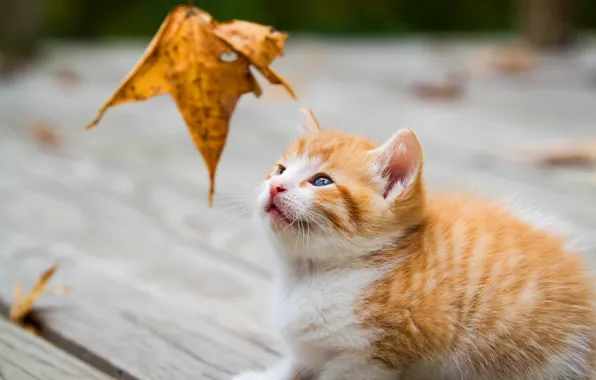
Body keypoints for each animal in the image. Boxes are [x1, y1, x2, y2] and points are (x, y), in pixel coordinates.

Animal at [232, 109, 596, 380]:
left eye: (322, 181)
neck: (309, 275)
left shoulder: (376, 354)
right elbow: (297, 365)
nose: (276, 186)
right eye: (279, 169)